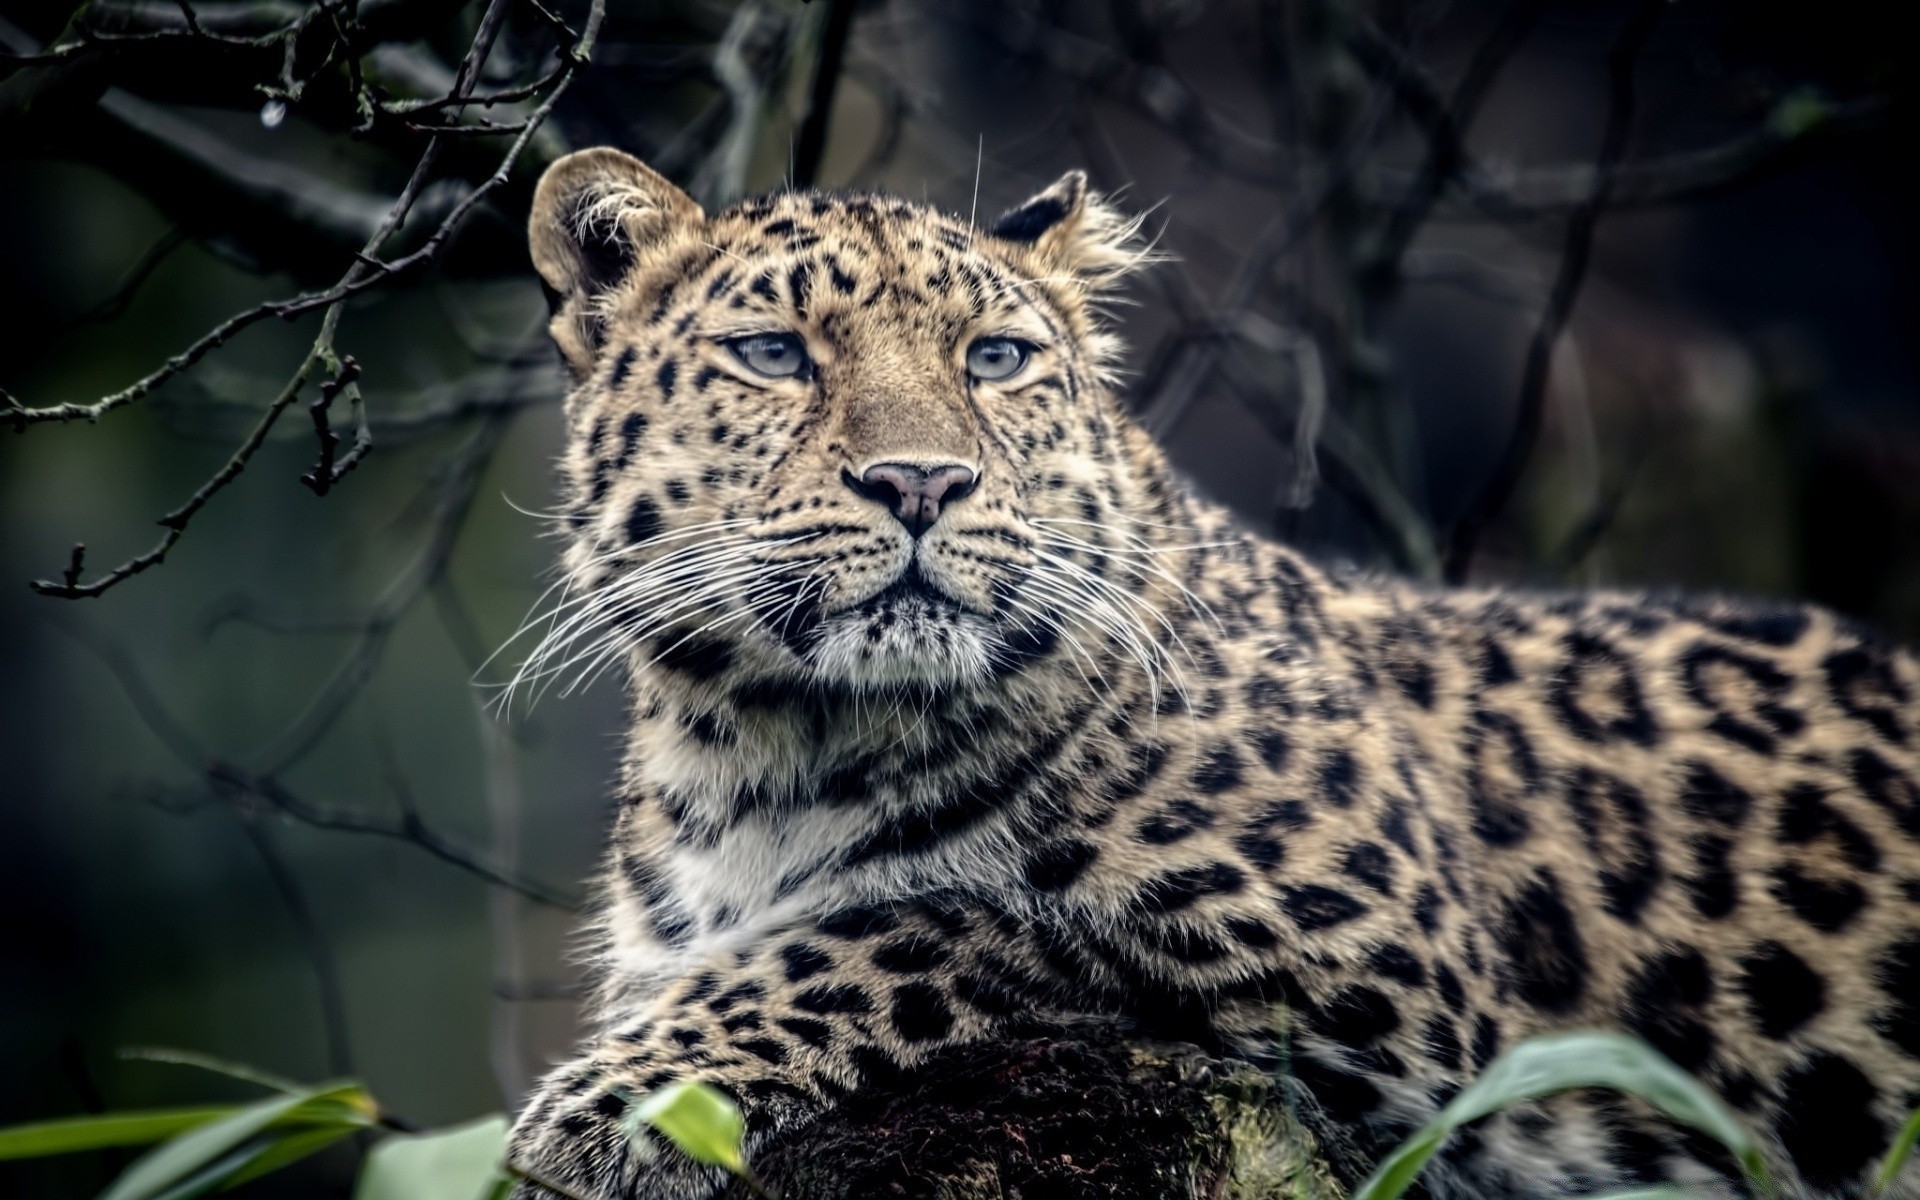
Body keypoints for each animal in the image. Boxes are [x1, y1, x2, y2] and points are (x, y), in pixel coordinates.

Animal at [506, 149, 1920, 1198]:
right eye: (776, 354)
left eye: (994, 360)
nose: (921, 482)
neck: (774, 744)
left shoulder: (1386, 973)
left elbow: (929, 918)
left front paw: (612, 1103)